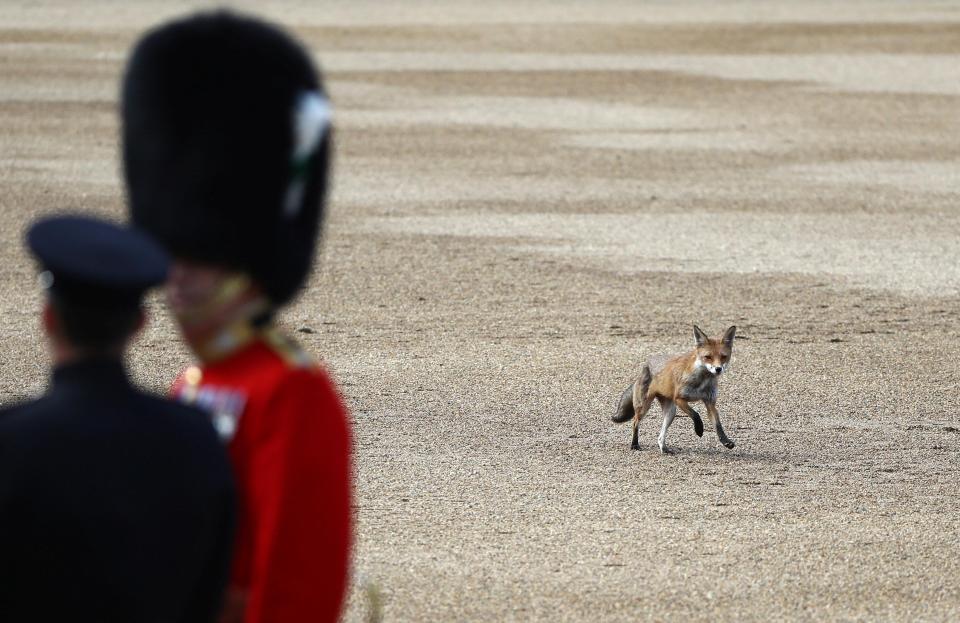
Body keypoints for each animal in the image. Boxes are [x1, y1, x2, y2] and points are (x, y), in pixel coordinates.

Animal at [612, 326, 740, 454]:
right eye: (708, 357)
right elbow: (695, 414)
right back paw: (634, 444)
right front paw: (699, 429)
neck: (702, 381)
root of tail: (645, 365)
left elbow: (718, 425)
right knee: (635, 422)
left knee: (660, 436)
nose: (718, 369)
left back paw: (664, 449)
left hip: (671, 412)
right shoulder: (679, 398)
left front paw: (725, 441)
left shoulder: (710, 403)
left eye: (723, 356)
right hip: (644, 407)